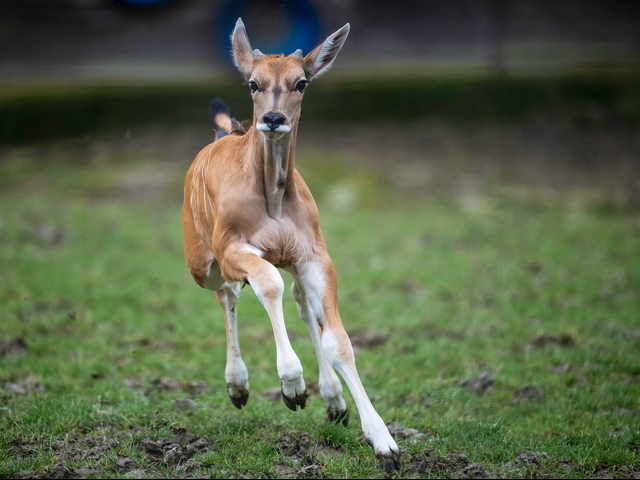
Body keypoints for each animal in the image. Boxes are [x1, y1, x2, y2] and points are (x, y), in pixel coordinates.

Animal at [181, 18, 400, 472]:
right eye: (253, 83)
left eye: (301, 82)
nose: (273, 117)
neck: (274, 199)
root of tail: (224, 132)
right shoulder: (232, 248)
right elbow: (267, 284)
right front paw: (292, 385)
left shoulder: (314, 255)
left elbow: (339, 339)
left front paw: (384, 443)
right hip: (202, 263)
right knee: (230, 292)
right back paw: (238, 386)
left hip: (287, 263)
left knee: (299, 302)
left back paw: (333, 400)